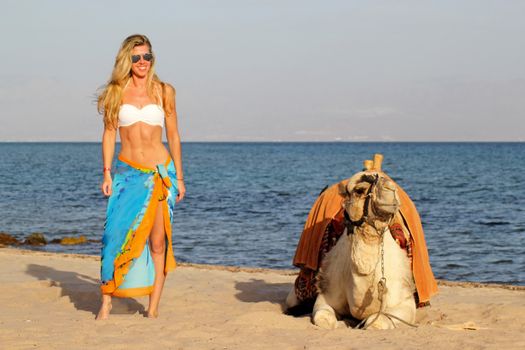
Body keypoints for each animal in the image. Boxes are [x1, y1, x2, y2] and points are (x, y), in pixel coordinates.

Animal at [286, 154, 434, 330]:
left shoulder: (405, 303)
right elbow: (324, 319)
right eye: (359, 190)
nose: (391, 189)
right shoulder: (326, 295)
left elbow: (376, 322)